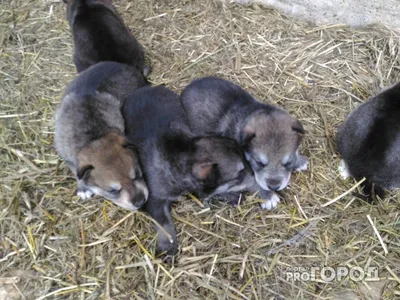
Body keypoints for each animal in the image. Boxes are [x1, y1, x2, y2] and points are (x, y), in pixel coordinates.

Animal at [55, 61, 150, 211]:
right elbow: (77, 173)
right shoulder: (68, 157)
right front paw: (83, 188)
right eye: (112, 190)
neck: (94, 137)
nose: (140, 202)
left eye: (137, 174)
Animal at [122, 85, 255, 258]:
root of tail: (144, 88)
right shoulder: (155, 200)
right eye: (239, 173)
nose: (254, 174)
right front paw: (168, 246)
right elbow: (164, 223)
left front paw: (231, 195)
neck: (184, 153)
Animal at [180, 76, 308, 210]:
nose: (274, 186)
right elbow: (254, 182)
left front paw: (300, 161)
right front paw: (268, 196)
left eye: (288, 162)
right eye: (259, 163)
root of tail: (189, 86)